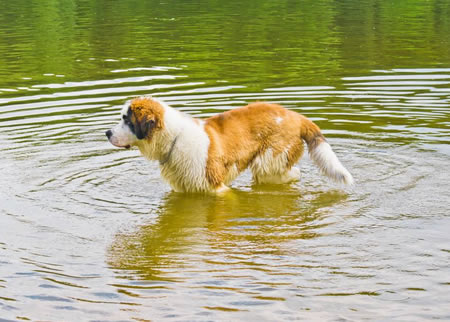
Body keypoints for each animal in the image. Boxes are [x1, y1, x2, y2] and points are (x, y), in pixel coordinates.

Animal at [104, 97, 352, 192]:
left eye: (126, 120)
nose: (107, 132)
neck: (174, 138)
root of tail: (295, 116)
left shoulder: (216, 188)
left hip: (269, 161)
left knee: (292, 173)